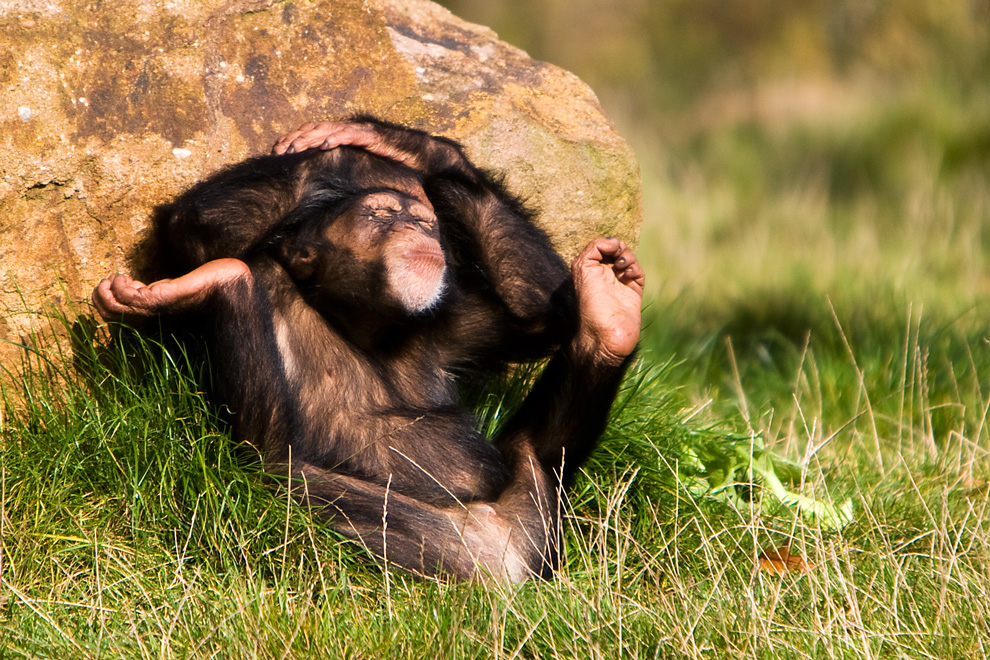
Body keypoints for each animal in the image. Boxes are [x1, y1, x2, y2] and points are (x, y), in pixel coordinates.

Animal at [93, 120, 644, 584]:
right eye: (380, 214)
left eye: (423, 220)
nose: (415, 227)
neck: (364, 320)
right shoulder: (274, 284)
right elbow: (198, 226)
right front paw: (329, 158)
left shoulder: (454, 321)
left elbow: (540, 317)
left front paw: (394, 142)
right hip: (448, 551)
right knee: (279, 465)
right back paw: (220, 280)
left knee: (533, 452)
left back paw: (608, 318)